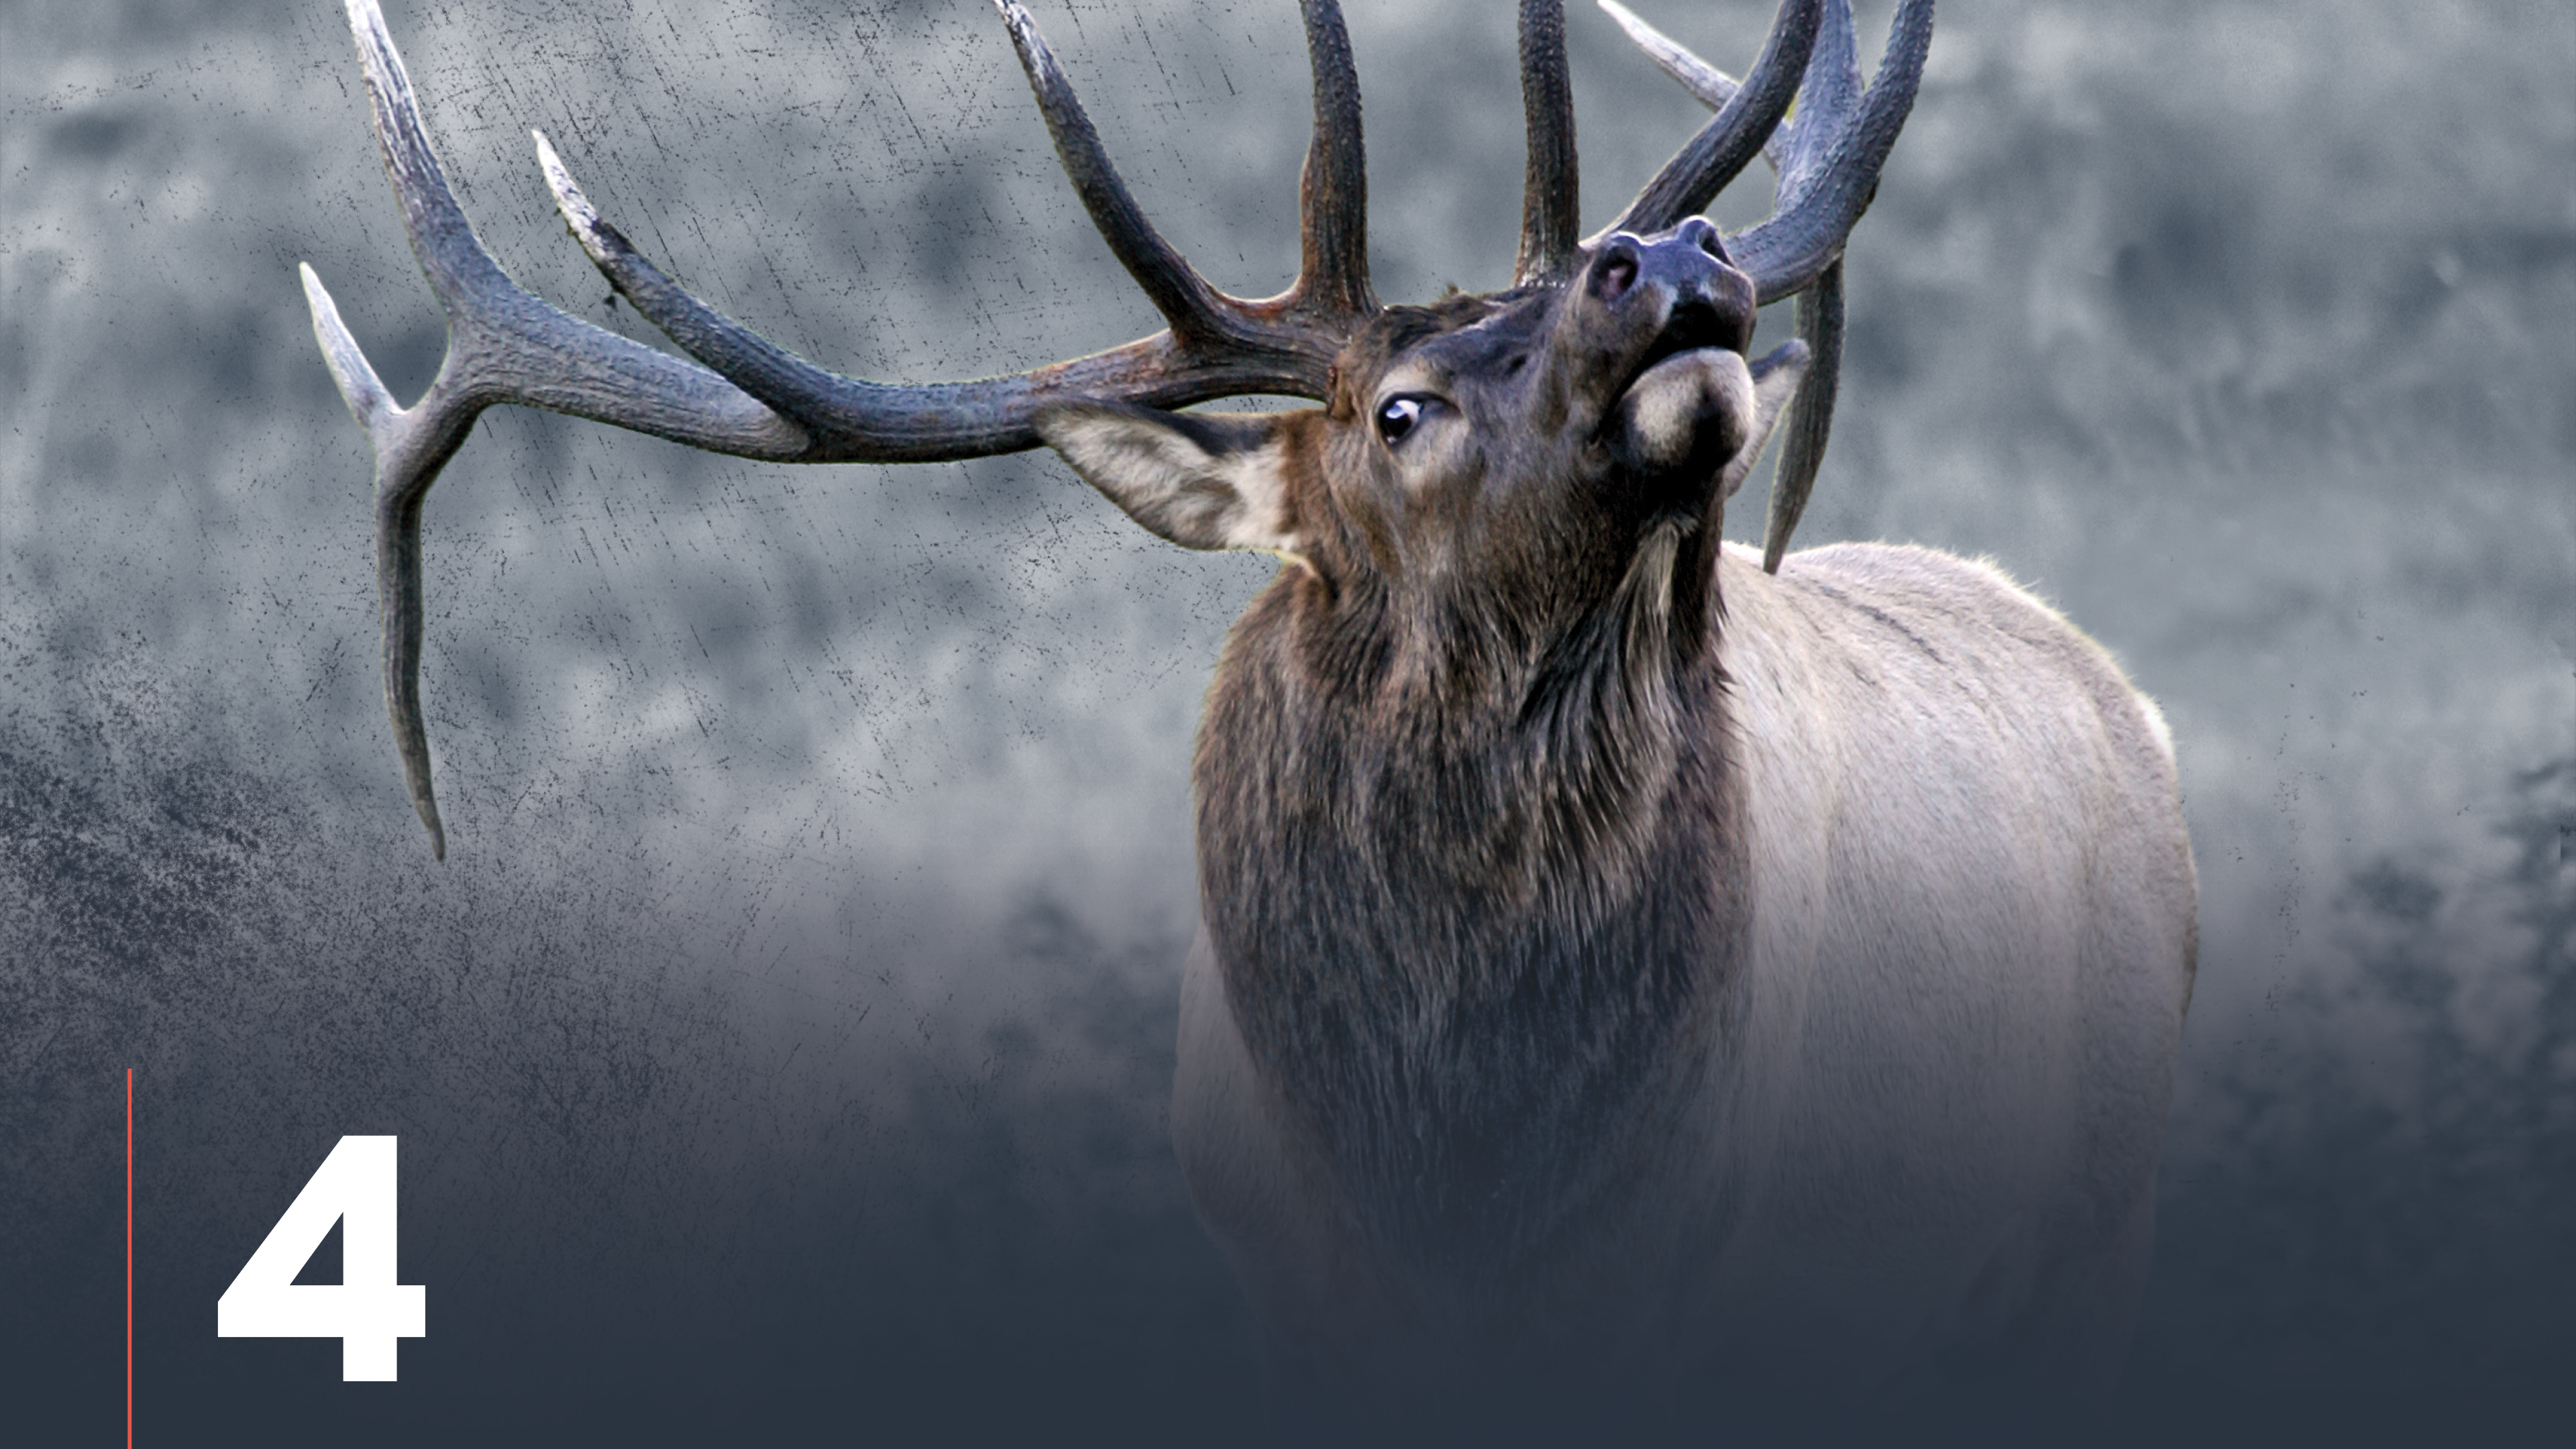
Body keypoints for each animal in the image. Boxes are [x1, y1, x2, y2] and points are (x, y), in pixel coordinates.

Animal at [303, 0, 2197, 1428]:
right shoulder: (1294, 1288)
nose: (1661, 250)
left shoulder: (1701, 1265)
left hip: (2088, 1229)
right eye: (1401, 408)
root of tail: (2115, 693)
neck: (1457, 1155)